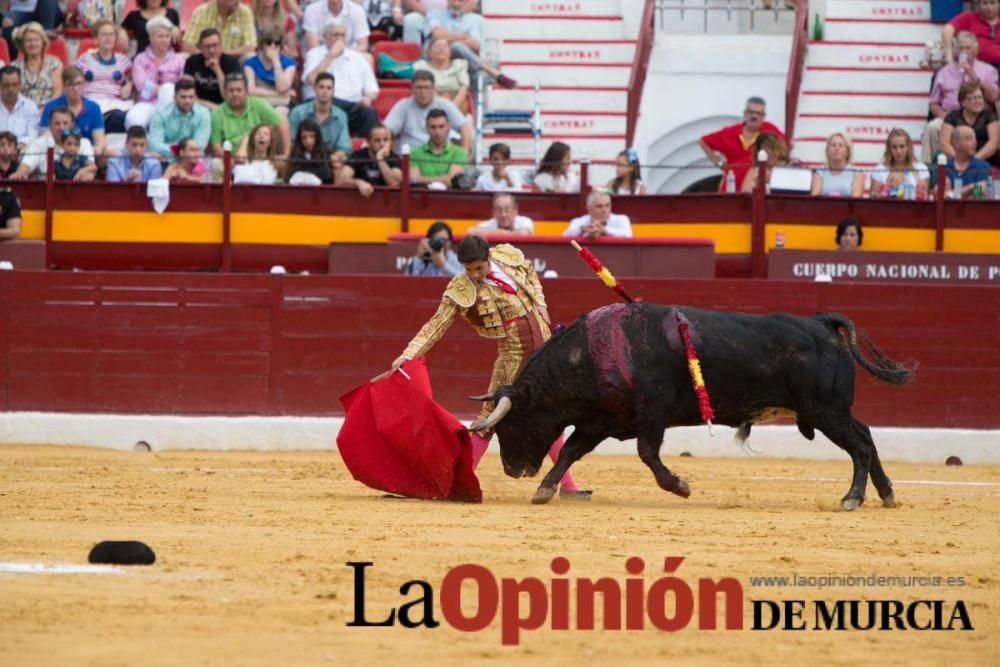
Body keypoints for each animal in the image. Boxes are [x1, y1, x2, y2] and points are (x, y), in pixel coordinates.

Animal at [472, 302, 916, 512]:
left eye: (512, 423)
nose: (512, 469)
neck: (597, 352)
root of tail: (822, 323)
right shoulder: (600, 422)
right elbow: (568, 451)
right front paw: (544, 489)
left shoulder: (651, 416)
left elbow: (647, 455)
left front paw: (680, 486)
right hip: (830, 411)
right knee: (867, 437)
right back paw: (887, 494)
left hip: (826, 410)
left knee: (860, 445)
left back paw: (852, 498)